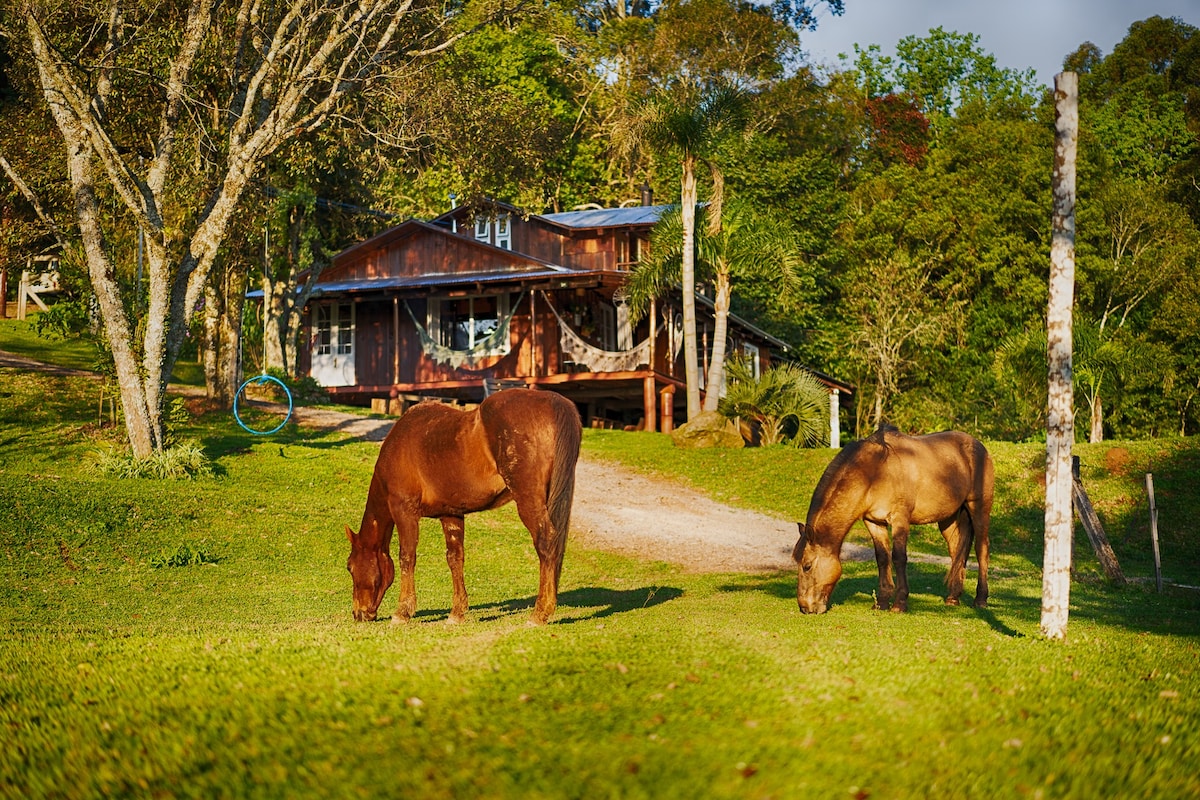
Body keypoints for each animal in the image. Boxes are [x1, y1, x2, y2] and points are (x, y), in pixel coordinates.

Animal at [345, 388, 583, 623]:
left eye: (350, 567)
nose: (359, 614)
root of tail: (555, 402)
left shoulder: (404, 511)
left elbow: (407, 557)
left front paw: (403, 612)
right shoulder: (451, 514)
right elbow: (455, 558)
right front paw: (457, 612)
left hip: (528, 500)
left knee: (546, 541)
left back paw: (540, 613)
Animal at [796, 424, 993, 614]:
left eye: (807, 566)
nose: (805, 608)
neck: (876, 471)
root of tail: (978, 446)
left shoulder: (900, 519)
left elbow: (899, 557)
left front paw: (900, 603)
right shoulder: (874, 522)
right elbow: (882, 558)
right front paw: (882, 601)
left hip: (979, 508)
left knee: (981, 549)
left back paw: (981, 599)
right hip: (948, 519)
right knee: (956, 551)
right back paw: (953, 597)